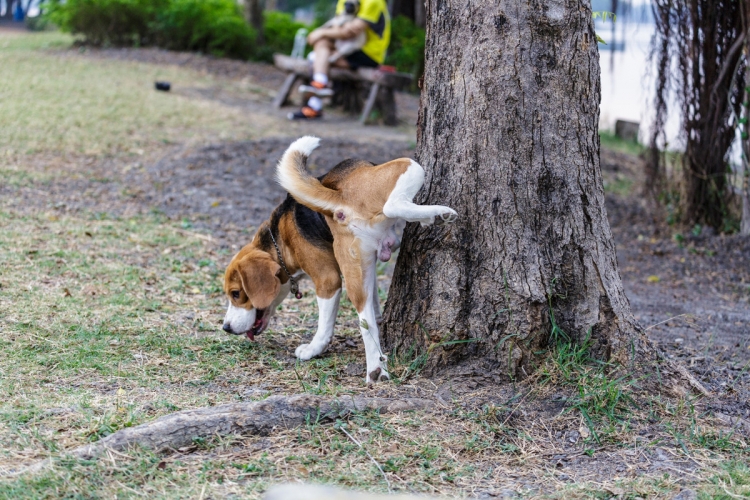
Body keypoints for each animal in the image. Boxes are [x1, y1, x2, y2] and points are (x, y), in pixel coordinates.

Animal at [223, 139, 458, 384]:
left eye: (236, 294)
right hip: (409, 166)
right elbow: (326, 327)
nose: (226, 328)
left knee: (365, 322)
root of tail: (340, 197)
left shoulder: (352, 272)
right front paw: (314, 349)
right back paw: (437, 215)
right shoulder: (329, 280)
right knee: (393, 205)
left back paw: (375, 369)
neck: (279, 237)